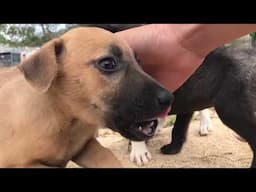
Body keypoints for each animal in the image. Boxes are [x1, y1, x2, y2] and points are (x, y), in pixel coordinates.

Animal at [0, 27, 174, 168]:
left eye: (139, 61)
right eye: (108, 64)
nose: (169, 99)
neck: (66, 120)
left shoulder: (86, 147)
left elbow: (108, 156)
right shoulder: (19, 164)